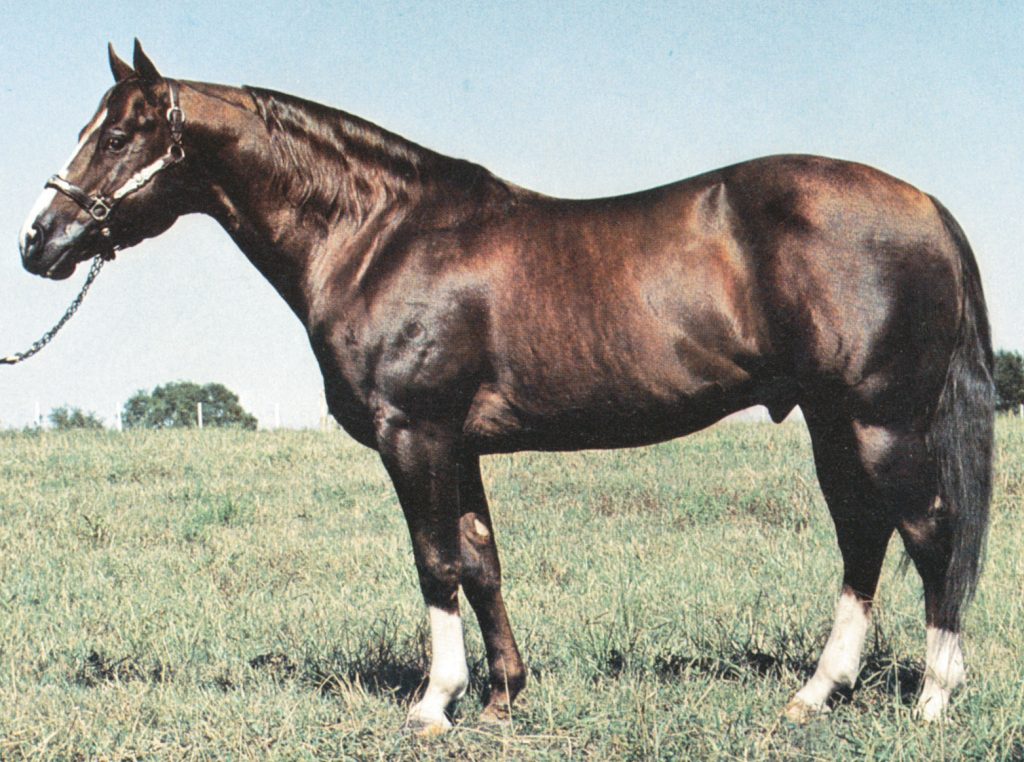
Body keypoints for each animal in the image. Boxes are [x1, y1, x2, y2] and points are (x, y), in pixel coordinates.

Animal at [18, 41, 993, 731]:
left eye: (117, 135)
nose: (39, 240)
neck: (379, 235)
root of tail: (925, 206)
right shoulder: (461, 444)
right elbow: (482, 561)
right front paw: (500, 696)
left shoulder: (414, 433)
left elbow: (436, 561)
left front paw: (433, 703)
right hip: (833, 424)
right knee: (864, 539)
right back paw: (815, 695)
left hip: (879, 422)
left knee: (929, 535)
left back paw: (933, 700)